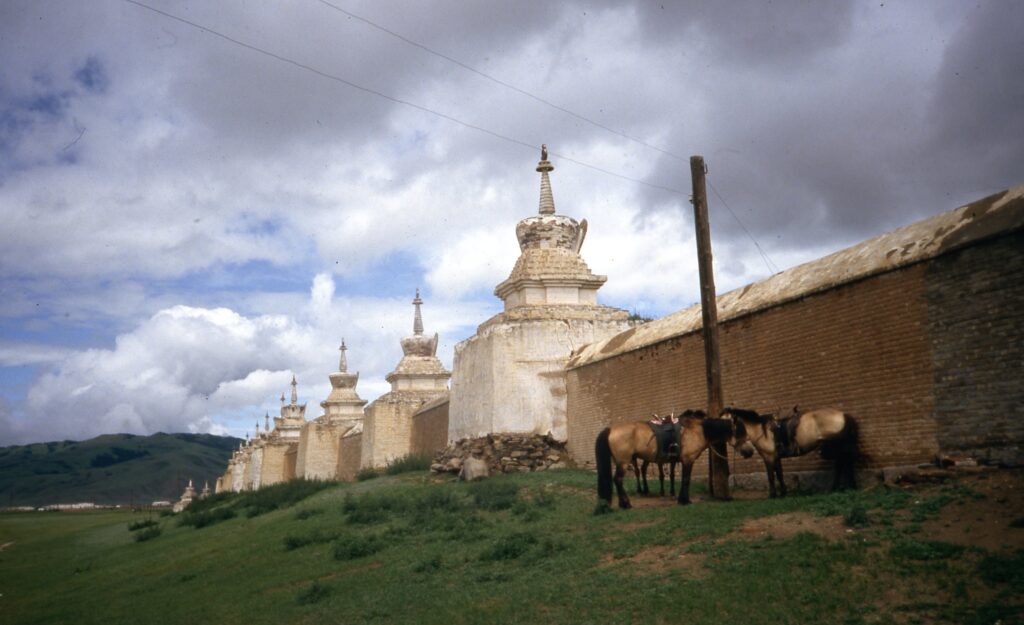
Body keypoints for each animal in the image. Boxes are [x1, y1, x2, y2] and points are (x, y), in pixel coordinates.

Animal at [598, 409, 733, 506]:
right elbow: (685, 479)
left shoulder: (678, 461)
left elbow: (676, 477)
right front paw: (685, 500)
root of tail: (610, 430)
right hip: (624, 462)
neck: (696, 429)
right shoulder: (688, 459)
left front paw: (677, 496)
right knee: (619, 479)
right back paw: (626, 503)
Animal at [724, 403, 860, 495]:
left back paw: (839, 487)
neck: (761, 429)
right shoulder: (776, 457)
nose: (746, 452)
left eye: (728, 428)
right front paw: (783, 493)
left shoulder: (768, 457)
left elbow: (771, 476)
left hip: (839, 447)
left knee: (842, 465)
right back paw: (846, 486)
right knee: (845, 464)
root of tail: (843, 415)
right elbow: (779, 474)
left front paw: (773, 495)